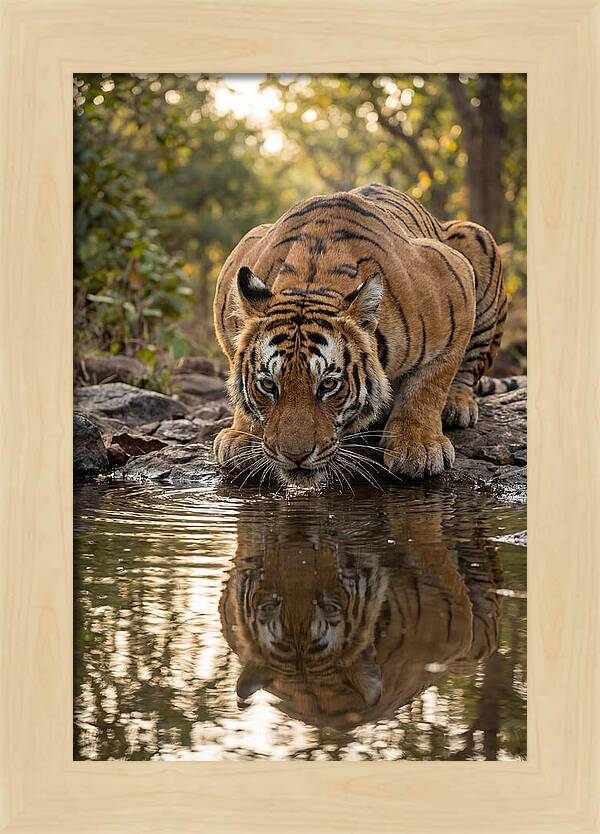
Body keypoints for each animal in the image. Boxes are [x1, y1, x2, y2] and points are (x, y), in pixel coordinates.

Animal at [213, 183, 508, 486]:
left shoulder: (455, 281)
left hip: (477, 238)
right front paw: (242, 436)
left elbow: (429, 384)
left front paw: (418, 447)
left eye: (328, 385)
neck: (311, 281)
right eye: (268, 385)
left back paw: (457, 406)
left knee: (469, 367)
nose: (295, 456)